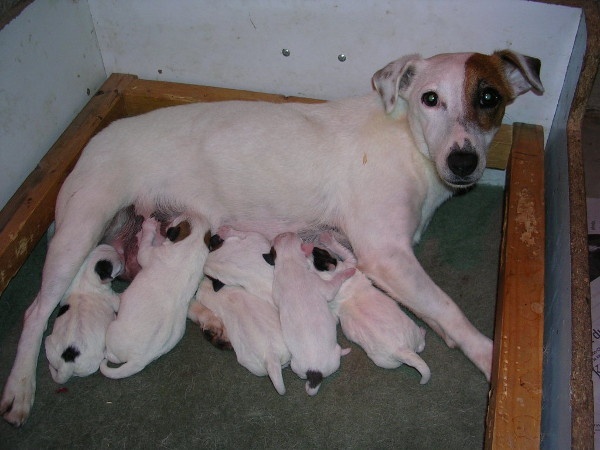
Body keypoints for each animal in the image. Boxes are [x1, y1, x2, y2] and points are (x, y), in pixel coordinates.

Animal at [44, 244, 122, 384]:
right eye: (118, 265)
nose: (122, 257)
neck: (85, 276)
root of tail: (67, 362)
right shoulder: (112, 298)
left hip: (49, 343)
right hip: (94, 362)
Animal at [270, 232, 354, 394]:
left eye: (282, 236)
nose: (287, 232)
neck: (289, 263)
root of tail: (314, 372)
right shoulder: (323, 286)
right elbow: (335, 282)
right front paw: (348, 272)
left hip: (295, 365)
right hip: (334, 356)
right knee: (338, 353)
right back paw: (345, 351)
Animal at [316, 232, 428, 384]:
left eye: (319, 253)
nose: (310, 246)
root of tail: (403, 350)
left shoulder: (349, 266)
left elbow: (344, 252)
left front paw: (326, 238)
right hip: (392, 353)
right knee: (421, 345)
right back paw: (423, 331)